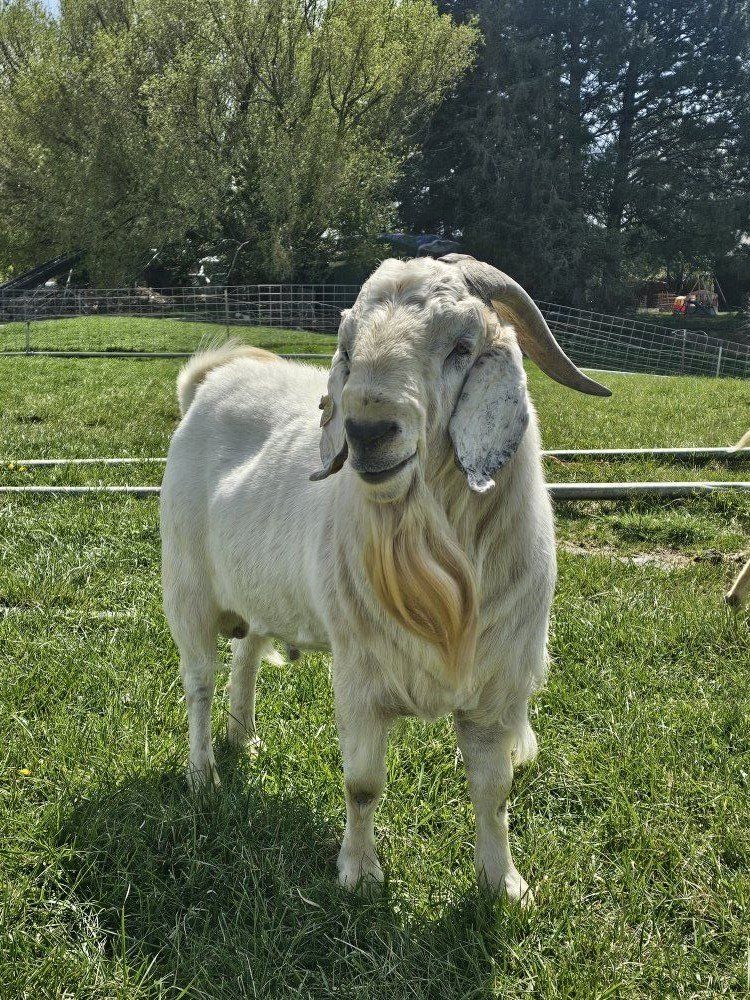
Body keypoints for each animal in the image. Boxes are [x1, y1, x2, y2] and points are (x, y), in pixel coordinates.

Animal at [160, 255, 611, 902]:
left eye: (462, 346)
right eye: (348, 347)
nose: (367, 432)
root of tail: (209, 383)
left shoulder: (496, 688)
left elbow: (494, 792)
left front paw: (503, 883)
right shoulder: (361, 678)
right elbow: (364, 783)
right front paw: (359, 872)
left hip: (263, 594)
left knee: (246, 657)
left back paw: (243, 736)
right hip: (187, 588)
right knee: (198, 683)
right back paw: (204, 775)